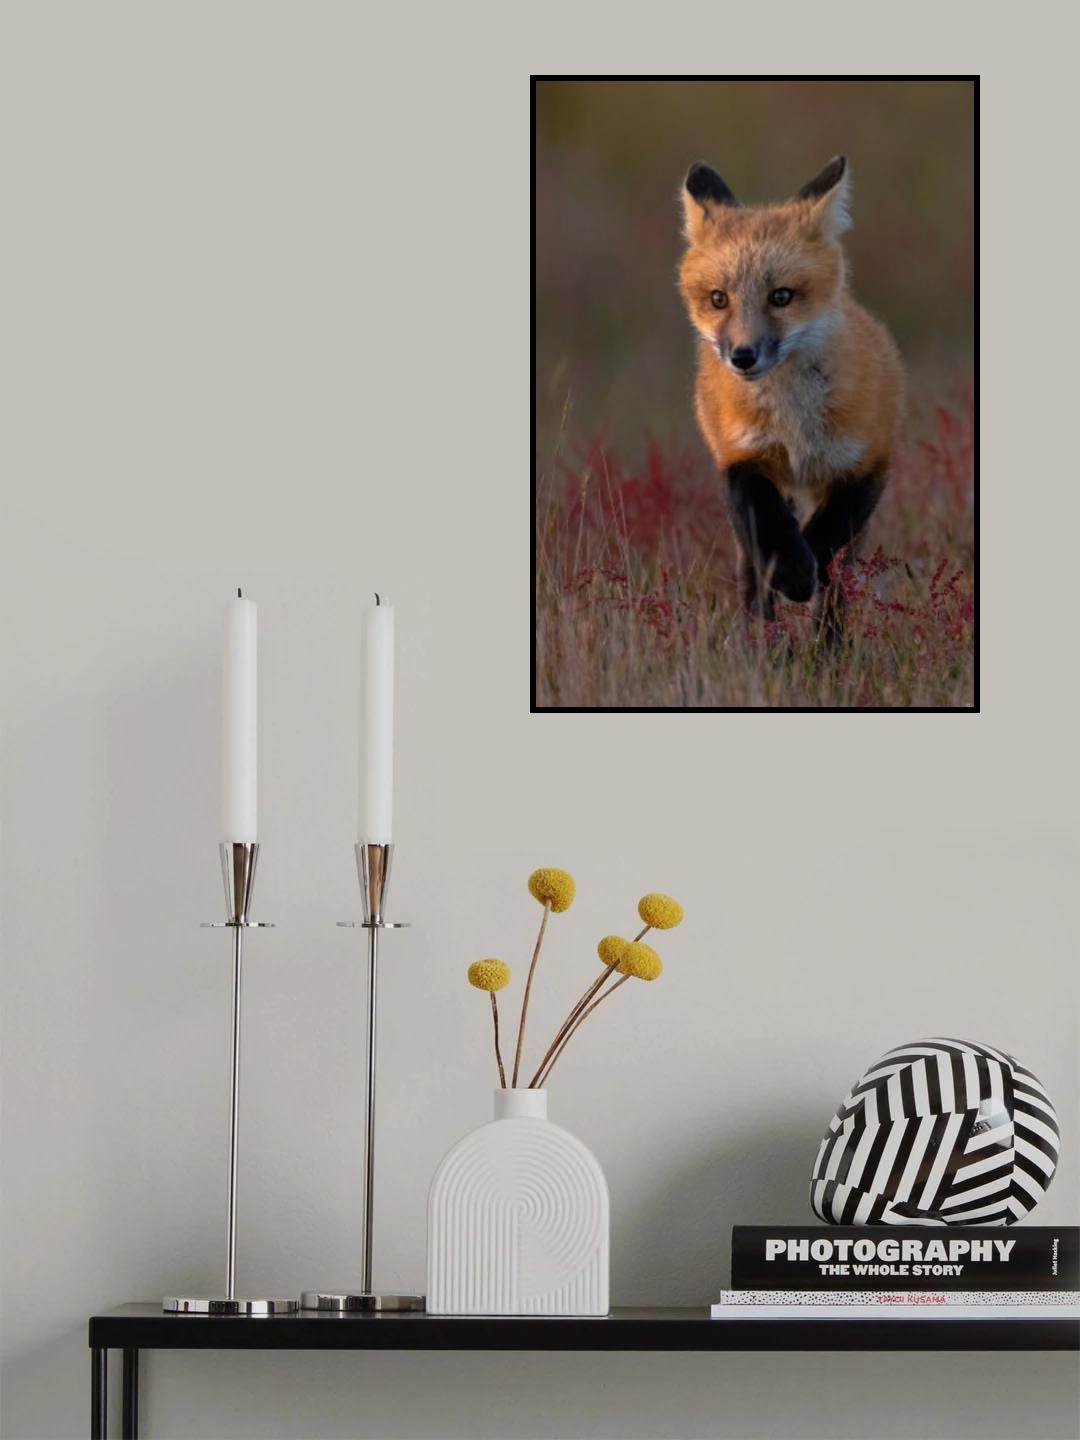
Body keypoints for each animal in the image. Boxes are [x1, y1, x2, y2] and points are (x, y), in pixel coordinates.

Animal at [678, 155, 904, 637]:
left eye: (781, 296)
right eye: (719, 299)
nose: (742, 357)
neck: (793, 421)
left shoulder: (867, 463)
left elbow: (829, 538)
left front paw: (806, 569)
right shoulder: (739, 459)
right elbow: (771, 531)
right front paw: (794, 573)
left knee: (840, 582)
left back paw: (828, 648)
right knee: (752, 572)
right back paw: (763, 646)